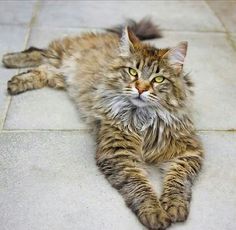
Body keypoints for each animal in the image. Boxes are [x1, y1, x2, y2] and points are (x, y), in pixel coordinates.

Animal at [1, 18, 204, 229]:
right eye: (132, 72)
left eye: (158, 79)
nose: (140, 88)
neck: (143, 118)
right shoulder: (119, 153)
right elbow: (139, 185)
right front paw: (154, 212)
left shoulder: (187, 151)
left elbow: (178, 180)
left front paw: (175, 205)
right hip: (62, 54)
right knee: (38, 51)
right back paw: (10, 61)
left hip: (60, 75)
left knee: (43, 69)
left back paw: (17, 80)